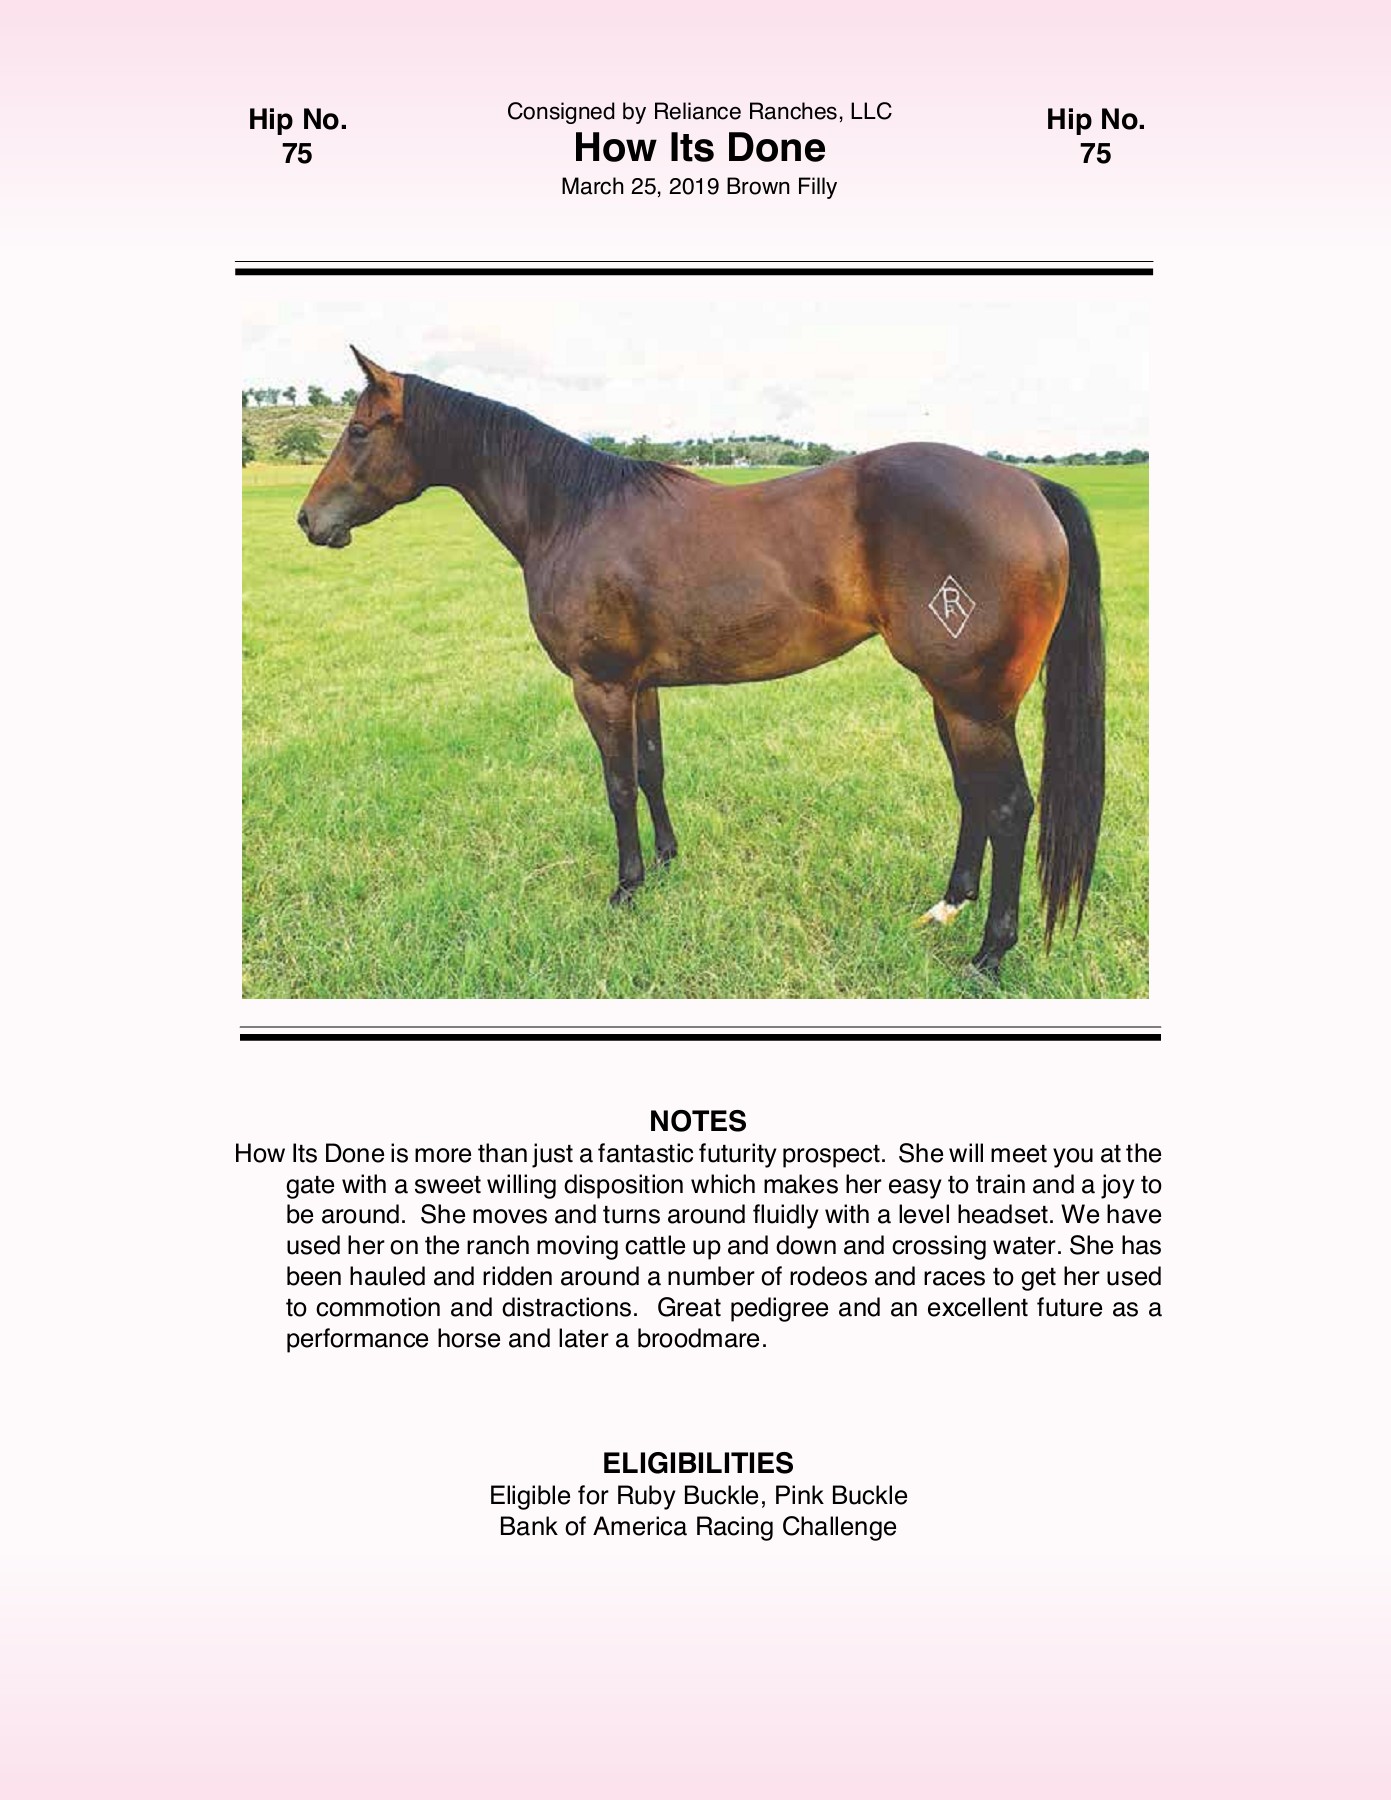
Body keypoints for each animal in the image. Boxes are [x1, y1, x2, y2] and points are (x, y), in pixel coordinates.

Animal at [298, 348, 1104, 979]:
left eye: (359, 430)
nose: (309, 520)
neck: (573, 512)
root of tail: (1025, 484)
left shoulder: (599, 685)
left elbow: (618, 785)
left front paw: (625, 887)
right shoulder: (642, 685)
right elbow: (652, 769)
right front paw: (665, 862)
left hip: (973, 703)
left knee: (1007, 806)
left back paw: (989, 954)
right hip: (951, 698)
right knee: (974, 796)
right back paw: (948, 905)